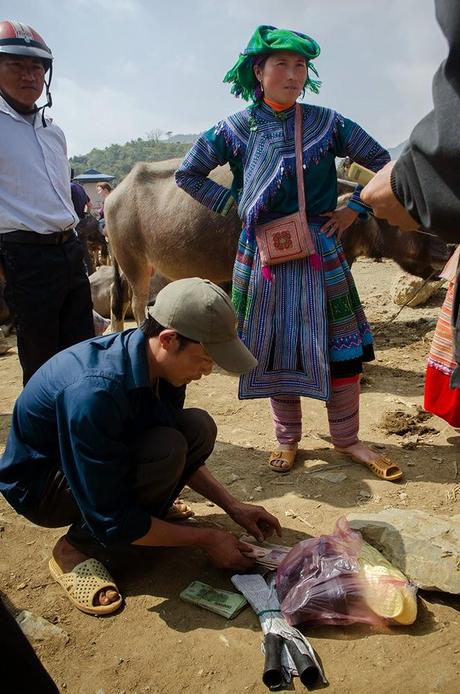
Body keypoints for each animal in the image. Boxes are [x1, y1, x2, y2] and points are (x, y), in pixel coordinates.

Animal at [106, 159, 452, 334]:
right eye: (403, 211)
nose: (447, 249)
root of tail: (115, 194)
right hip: (135, 265)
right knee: (137, 302)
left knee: (117, 297)